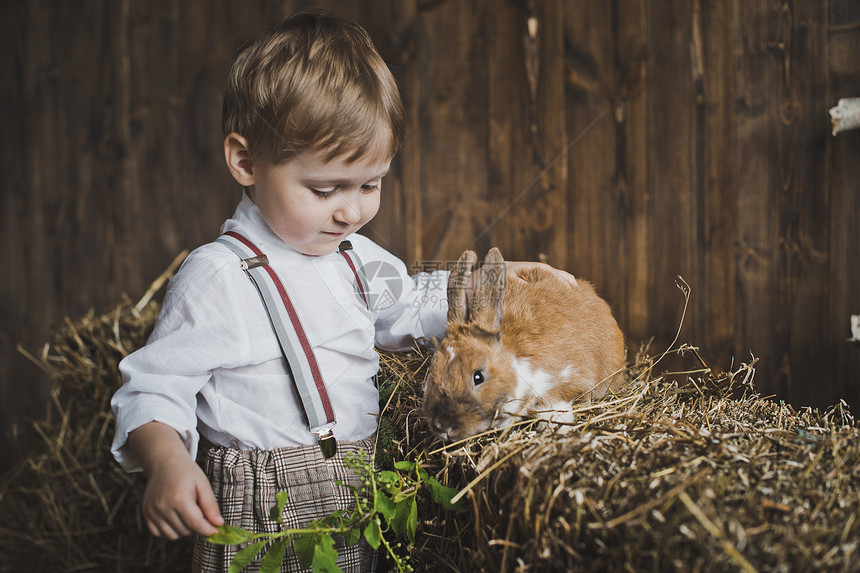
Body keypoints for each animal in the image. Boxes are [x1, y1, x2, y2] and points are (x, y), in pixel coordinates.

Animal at [424, 248, 624, 440]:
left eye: (478, 377)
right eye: (432, 372)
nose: (442, 426)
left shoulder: (571, 377)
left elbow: (557, 402)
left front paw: (554, 425)